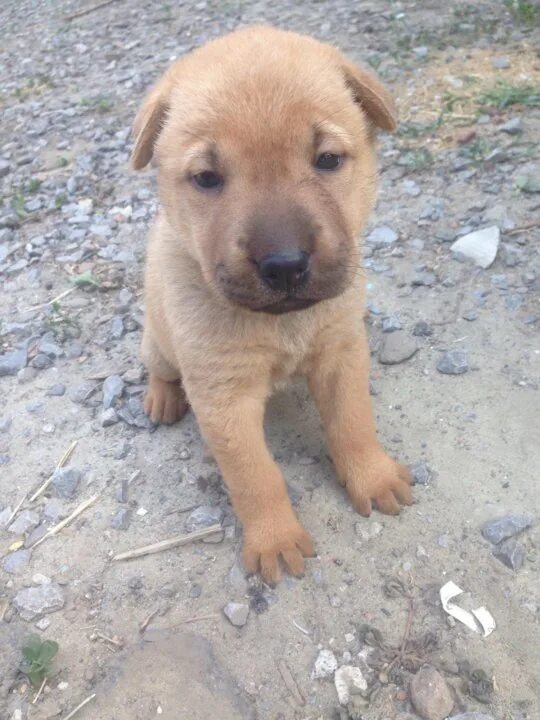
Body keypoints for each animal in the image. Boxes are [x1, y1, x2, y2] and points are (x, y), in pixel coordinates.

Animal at [133, 25, 412, 584]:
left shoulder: (342, 353)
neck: (284, 325)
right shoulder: (223, 398)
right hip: (157, 342)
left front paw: (373, 478)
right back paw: (162, 398)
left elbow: (354, 424)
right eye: (207, 178)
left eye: (327, 159)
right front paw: (275, 539)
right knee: (158, 367)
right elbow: (255, 476)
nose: (284, 265)